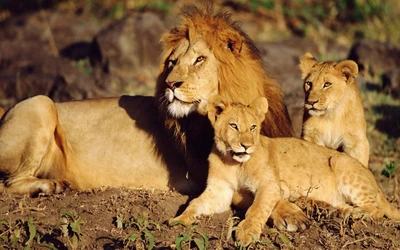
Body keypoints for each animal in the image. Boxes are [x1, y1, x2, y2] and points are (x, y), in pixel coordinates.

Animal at [0, 4, 294, 198]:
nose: (170, 84)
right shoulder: (208, 174)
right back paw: (51, 185)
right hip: (40, 103)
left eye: (200, 59)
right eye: (172, 62)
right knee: (10, 183)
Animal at [170, 95, 400, 246]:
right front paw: (179, 220)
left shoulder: (270, 185)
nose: (246, 146)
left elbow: (258, 208)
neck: (233, 162)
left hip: (340, 162)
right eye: (233, 126)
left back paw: (352, 213)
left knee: (375, 209)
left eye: (253, 127)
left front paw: (247, 233)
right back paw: (333, 211)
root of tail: (376, 183)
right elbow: (195, 203)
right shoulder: (219, 192)